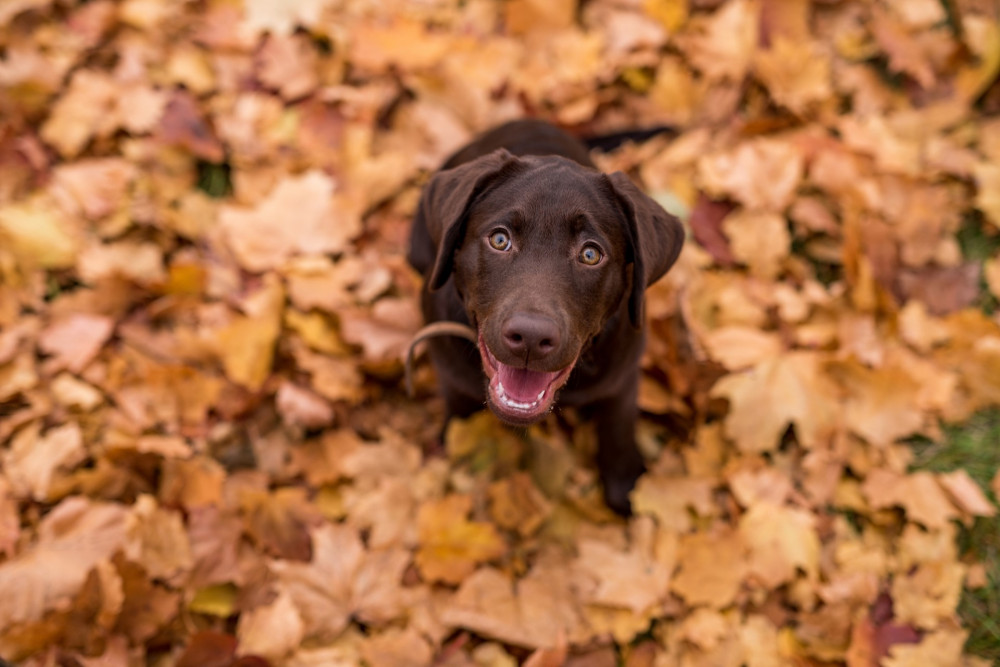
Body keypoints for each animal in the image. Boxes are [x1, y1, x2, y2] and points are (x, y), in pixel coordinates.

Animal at [408, 120, 688, 516]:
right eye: (499, 240)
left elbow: (618, 428)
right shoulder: (451, 373)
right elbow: (459, 418)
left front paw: (626, 487)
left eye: (590, 254)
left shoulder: (622, 377)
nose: (530, 337)